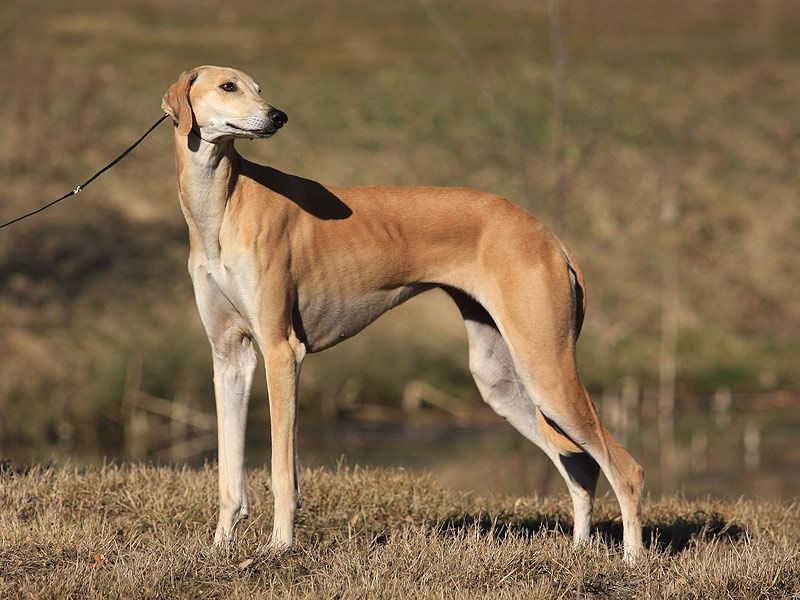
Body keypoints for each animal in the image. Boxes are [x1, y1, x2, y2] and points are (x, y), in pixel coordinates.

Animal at [161, 67, 644, 564]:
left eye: (257, 88)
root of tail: (549, 236)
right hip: (503, 381)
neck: (223, 206)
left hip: (546, 367)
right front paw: (219, 547)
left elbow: (281, 472)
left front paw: (279, 548)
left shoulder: (282, 352)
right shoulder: (230, 357)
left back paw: (632, 559)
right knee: (580, 466)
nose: (278, 116)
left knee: (624, 468)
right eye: (228, 86)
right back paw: (579, 551)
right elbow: (229, 473)